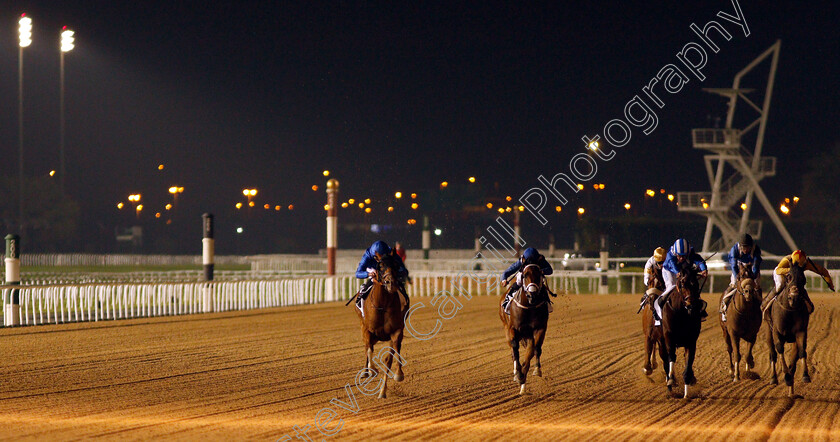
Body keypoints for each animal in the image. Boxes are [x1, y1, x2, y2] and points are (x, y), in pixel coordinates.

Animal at [356, 250, 406, 398]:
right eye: (380, 266)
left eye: (396, 264)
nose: (391, 283)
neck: (382, 305)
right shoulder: (367, 329)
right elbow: (368, 349)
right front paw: (371, 370)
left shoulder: (396, 331)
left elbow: (389, 359)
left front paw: (384, 389)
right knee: (368, 347)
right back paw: (366, 371)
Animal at [498, 264, 552, 396]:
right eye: (525, 275)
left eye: (539, 274)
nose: (532, 294)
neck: (529, 306)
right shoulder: (512, 329)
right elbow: (515, 349)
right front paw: (517, 373)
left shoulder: (539, 329)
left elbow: (535, 350)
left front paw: (536, 370)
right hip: (506, 329)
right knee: (513, 351)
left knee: (530, 353)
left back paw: (523, 382)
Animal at [660, 264, 704, 398]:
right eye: (683, 284)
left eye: (696, 284)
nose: (691, 305)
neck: (682, 313)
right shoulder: (669, 337)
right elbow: (671, 357)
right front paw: (671, 381)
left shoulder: (691, 341)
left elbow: (688, 363)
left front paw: (686, 394)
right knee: (666, 359)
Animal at [764, 262, 812, 398]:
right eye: (788, 276)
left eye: (803, 278)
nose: (794, 298)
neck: (790, 311)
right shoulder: (776, 331)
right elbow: (779, 349)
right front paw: (786, 377)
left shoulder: (801, 332)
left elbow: (802, 351)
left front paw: (805, 376)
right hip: (768, 332)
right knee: (772, 354)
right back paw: (774, 378)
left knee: (793, 362)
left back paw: (791, 392)